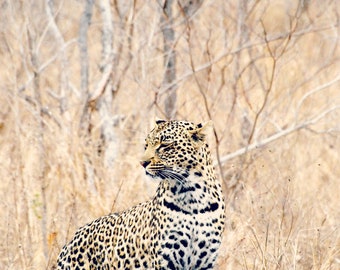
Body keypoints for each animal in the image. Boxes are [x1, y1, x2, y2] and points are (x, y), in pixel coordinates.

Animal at [56, 121, 226, 270]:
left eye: (165, 145)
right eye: (146, 145)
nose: (142, 163)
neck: (192, 196)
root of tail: (69, 242)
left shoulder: (205, 261)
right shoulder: (165, 260)